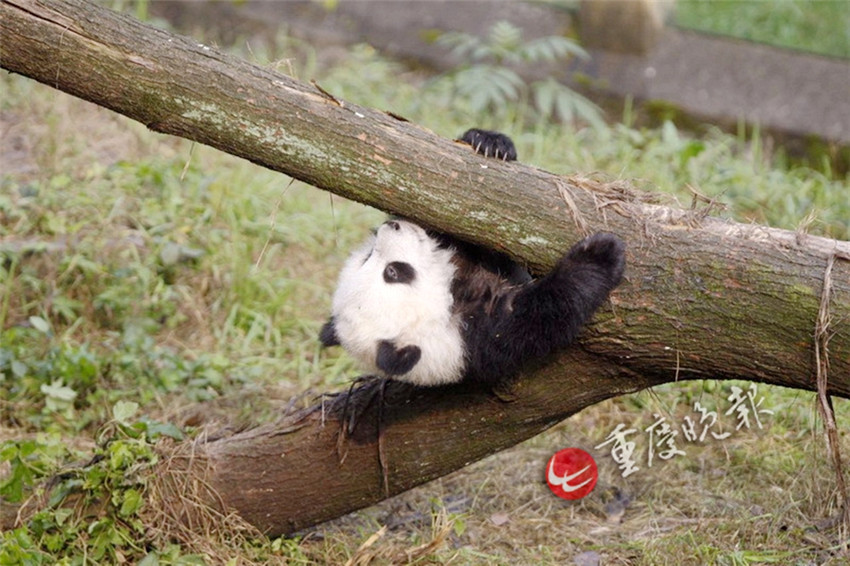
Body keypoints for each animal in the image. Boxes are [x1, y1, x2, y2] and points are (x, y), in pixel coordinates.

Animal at [319, 129, 625, 388]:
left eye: (369, 256)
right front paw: (601, 253)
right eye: (392, 272)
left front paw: (489, 142)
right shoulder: (479, 338)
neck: (450, 293)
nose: (391, 226)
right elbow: (540, 315)